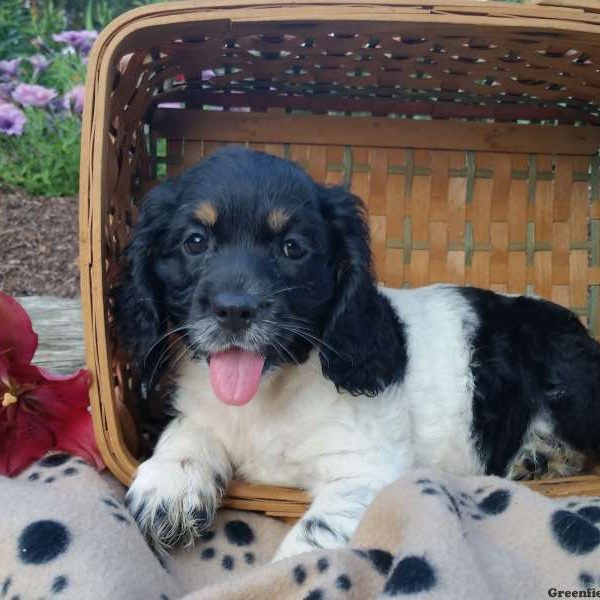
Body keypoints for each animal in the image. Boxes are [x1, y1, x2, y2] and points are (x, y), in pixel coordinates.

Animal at [116, 145, 600, 556]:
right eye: (194, 241)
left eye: (293, 248)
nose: (234, 310)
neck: (268, 395)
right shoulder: (204, 410)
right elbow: (187, 430)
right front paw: (168, 484)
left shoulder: (367, 471)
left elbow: (312, 541)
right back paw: (541, 457)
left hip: (568, 377)